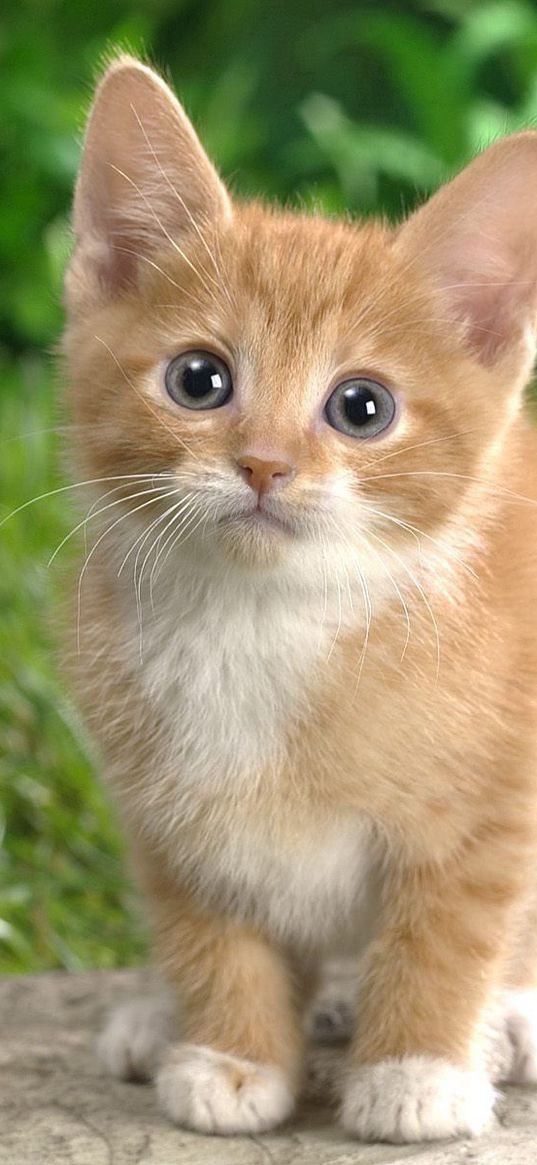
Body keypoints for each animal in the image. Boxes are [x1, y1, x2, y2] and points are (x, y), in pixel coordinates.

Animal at [63, 56, 537, 1146]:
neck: (260, 620)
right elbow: (205, 922)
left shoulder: (496, 800)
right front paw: (231, 1053)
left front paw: (416, 1068)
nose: (265, 464)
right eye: (199, 379)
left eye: (362, 407)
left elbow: (449, 926)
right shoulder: (166, 806)